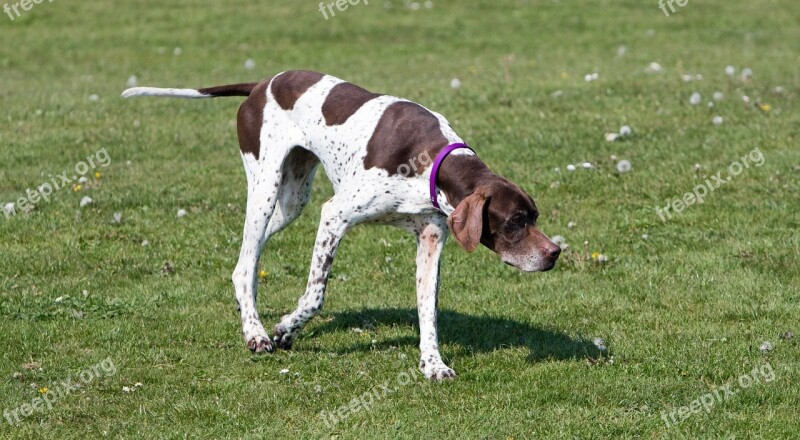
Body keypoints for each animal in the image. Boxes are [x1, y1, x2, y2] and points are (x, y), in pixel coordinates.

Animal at [123, 70, 564, 380]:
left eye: (535, 217)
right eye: (515, 221)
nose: (554, 253)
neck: (433, 161)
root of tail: (262, 83)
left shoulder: (431, 240)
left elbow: (428, 310)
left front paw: (433, 364)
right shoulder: (335, 215)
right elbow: (315, 295)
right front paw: (285, 329)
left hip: (292, 202)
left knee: (244, 261)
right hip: (265, 188)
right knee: (247, 263)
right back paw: (256, 333)